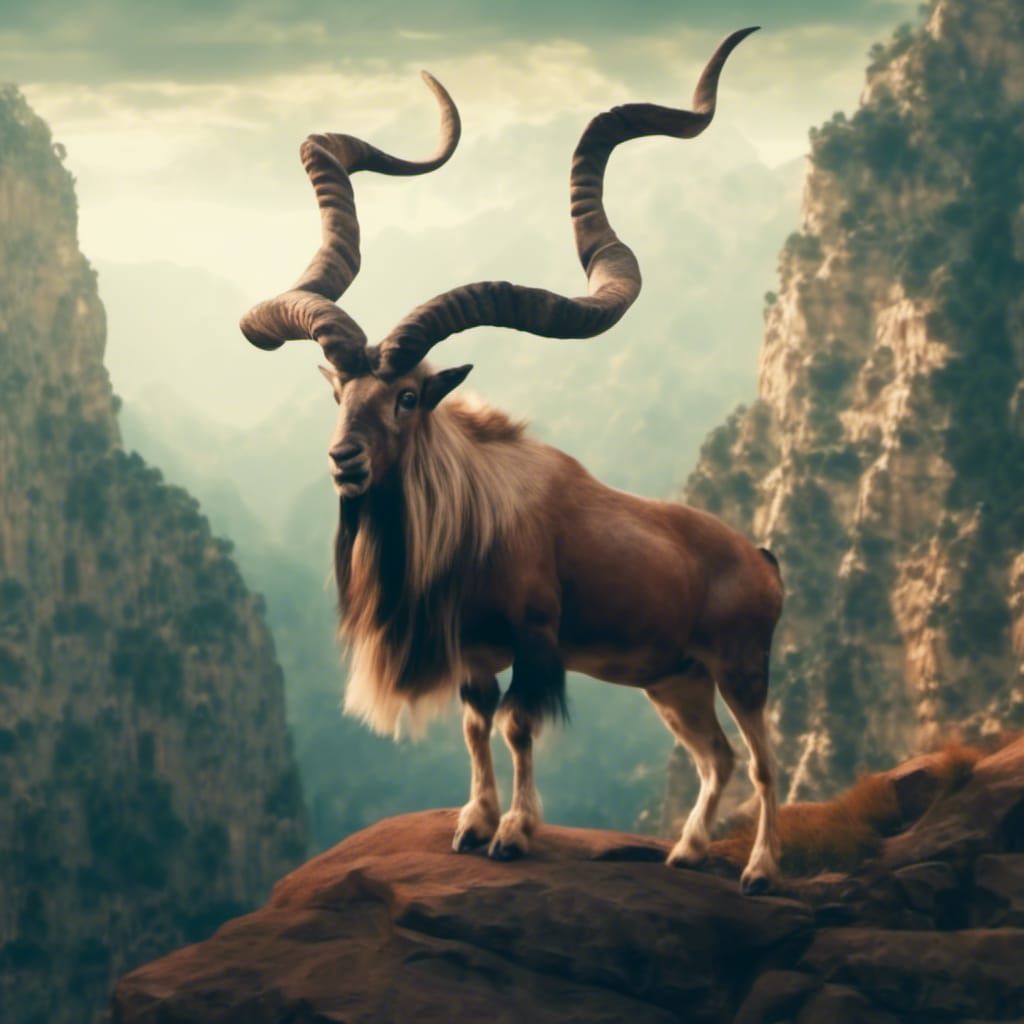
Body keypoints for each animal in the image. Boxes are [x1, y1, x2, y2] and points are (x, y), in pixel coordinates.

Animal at [240, 27, 784, 894]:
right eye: (340, 393)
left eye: (406, 397)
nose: (344, 460)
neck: (474, 518)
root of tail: (762, 560)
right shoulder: (473, 657)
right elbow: (475, 727)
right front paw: (472, 823)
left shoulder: (536, 645)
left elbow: (519, 727)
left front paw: (516, 833)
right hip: (675, 681)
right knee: (717, 758)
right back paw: (687, 851)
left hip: (740, 667)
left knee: (764, 760)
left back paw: (760, 870)